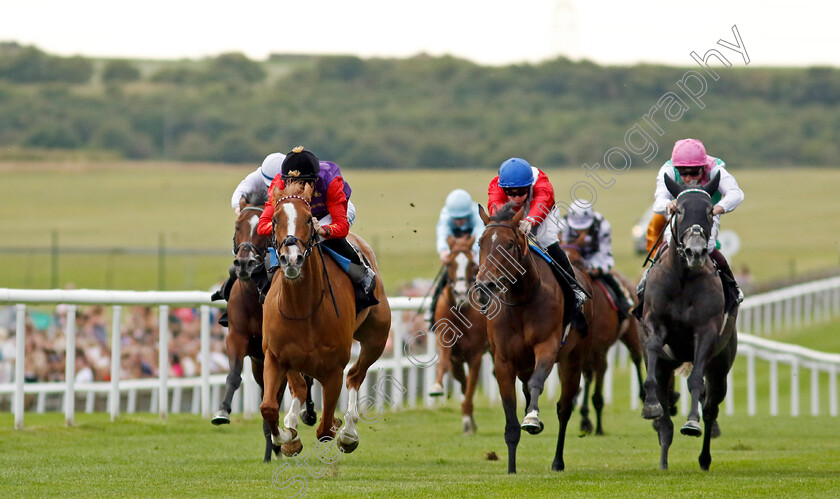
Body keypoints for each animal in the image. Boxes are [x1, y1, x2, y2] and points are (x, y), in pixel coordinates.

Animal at [260, 183, 390, 458]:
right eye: (275, 219)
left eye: (309, 219)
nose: (292, 258)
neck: (304, 309)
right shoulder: (275, 356)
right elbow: (268, 407)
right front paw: (288, 437)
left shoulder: (333, 369)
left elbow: (325, 430)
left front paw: (341, 430)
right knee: (299, 387)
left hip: (377, 337)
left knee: (355, 375)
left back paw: (349, 431)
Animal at [430, 234, 488, 434]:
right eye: (449, 263)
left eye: (471, 263)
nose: (461, 293)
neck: (461, 311)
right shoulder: (449, 347)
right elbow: (444, 365)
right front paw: (437, 386)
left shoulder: (476, 355)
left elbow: (470, 387)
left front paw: (467, 421)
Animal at [476, 202, 592, 472]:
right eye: (480, 242)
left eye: (509, 244)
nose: (485, 285)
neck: (521, 299)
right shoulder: (503, 361)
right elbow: (510, 415)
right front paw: (511, 469)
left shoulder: (547, 347)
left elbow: (537, 383)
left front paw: (532, 418)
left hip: (573, 359)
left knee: (564, 408)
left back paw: (558, 461)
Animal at [560, 244, 648, 436]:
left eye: (579, 261)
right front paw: (584, 418)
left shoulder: (600, 349)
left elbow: (596, 387)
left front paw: (596, 424)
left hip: (630, 334)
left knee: (636, 358)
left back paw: (644, 395)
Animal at [640, 173, 740, 472]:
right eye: (680, 210)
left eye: (709, 211)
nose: (695, 252)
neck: (683, 278)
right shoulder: (654, 324)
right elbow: (652, 352)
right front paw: (650, 405)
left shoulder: (706, 332)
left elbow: (696, 382)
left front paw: (691, 423)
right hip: (668, 367)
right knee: (665, 424)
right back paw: (663, 461)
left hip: (721, 366)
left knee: (711, 408)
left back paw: (704, 458)